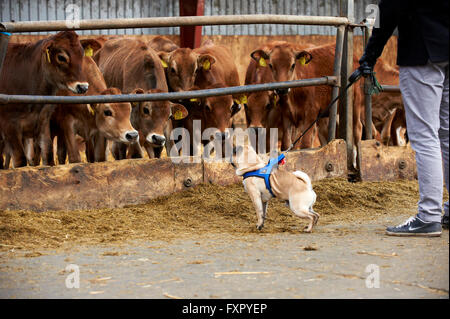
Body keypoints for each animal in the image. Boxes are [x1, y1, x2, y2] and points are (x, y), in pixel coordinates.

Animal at [0, 31, 89, 169]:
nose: (83, 86)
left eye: (81, 54)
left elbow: (48, 153)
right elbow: (20, 160)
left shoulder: (43, 121)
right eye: (61, 57)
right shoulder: (9, 125)